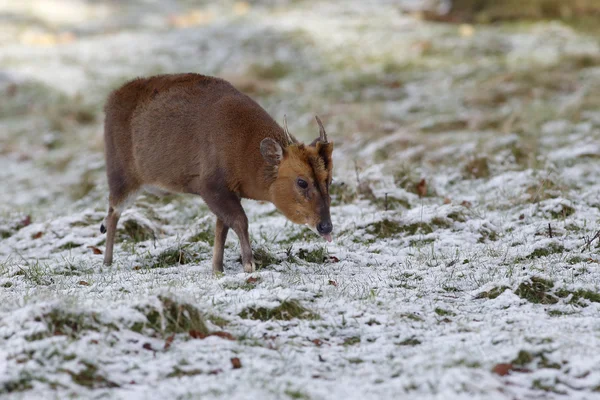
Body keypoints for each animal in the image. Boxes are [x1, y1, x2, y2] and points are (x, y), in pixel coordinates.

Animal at [99, 73, 332, 274]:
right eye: (301, 182)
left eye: (329, 179)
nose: (326, 226)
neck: (242, 150)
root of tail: (109, 99)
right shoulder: (210, 184)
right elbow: (239, 220)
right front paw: (249, 264)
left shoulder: (229, 189)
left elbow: (222, 228)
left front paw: (217, 268)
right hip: (120, 173)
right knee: (112, 213)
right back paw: (107, 262)